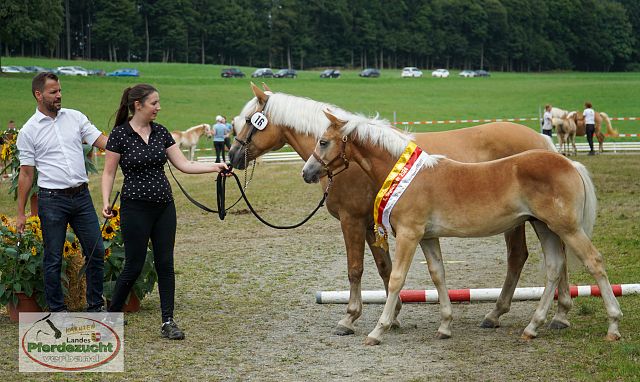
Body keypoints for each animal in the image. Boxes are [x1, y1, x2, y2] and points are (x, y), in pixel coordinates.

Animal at [230, 84, 576, 338]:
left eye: (248, 121)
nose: (232, 156)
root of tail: (542, 141)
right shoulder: (374, 225)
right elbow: (385, 268)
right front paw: (393, 315)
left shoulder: (352, 221)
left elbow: (356, 269)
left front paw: (351, 318)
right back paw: (557, 313)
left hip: (524, 221)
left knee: (521, 257)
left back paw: (504, 313)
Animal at [302, 110, 624, 346]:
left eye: (323, 141)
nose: (307, 172)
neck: (406, 174)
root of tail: (570, 164)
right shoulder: (428, 237)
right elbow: (438, 275)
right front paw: (445, 326)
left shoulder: (409, 234)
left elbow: (396, 279)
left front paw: (378, 330)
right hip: (545, 227)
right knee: (555, 268)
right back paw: (532, 327)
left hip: (566, 228)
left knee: (594, 262)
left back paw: (612, 325)